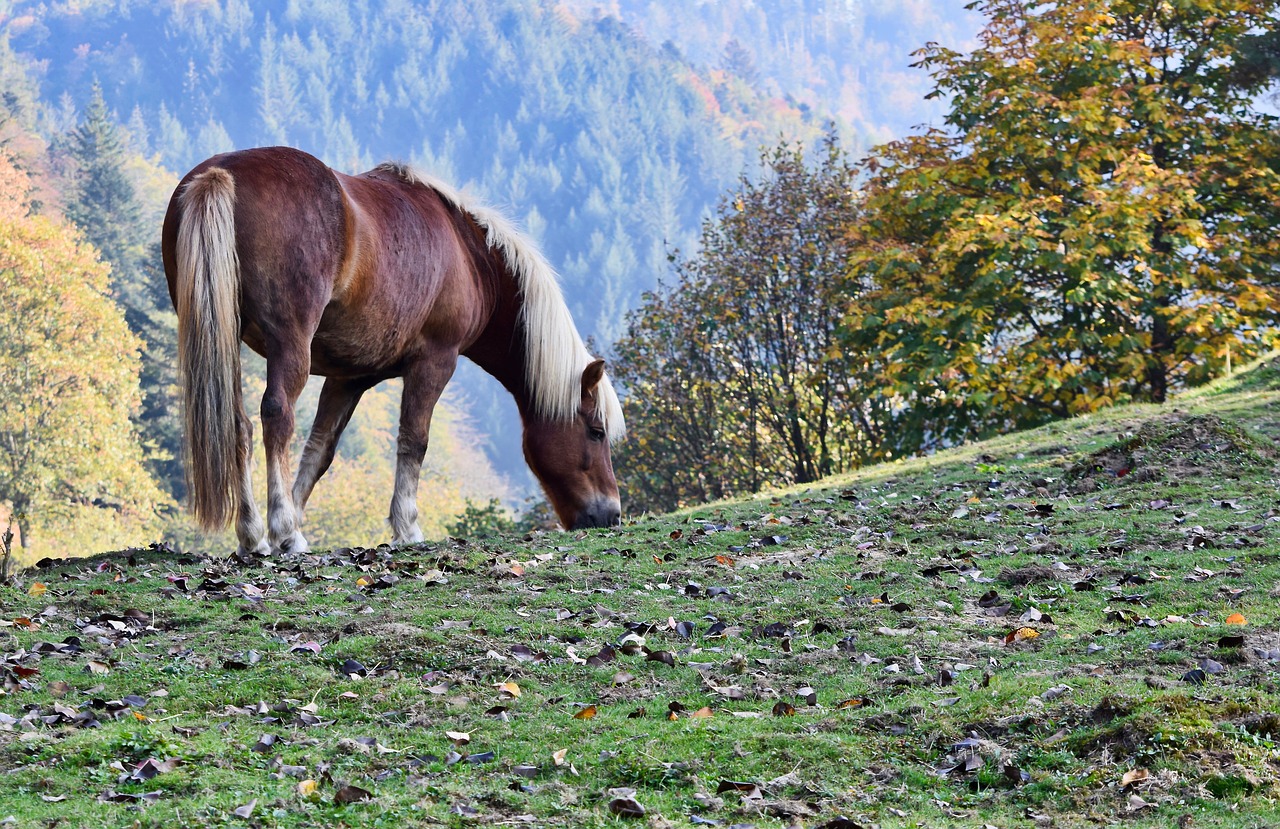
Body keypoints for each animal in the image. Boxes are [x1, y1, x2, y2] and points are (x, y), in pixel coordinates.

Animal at [160, 145, 624, 552]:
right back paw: (281, 531)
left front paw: (296, 515)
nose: (612, 515)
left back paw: (254, 533)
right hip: (290, 346)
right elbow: (414, 441)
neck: (470, 254)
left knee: (239, 425)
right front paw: (406, 526)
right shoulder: (434, 362)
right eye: (596, 432)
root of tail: (222, 173)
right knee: (277, 416)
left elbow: (319, 451)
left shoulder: (347, 378)